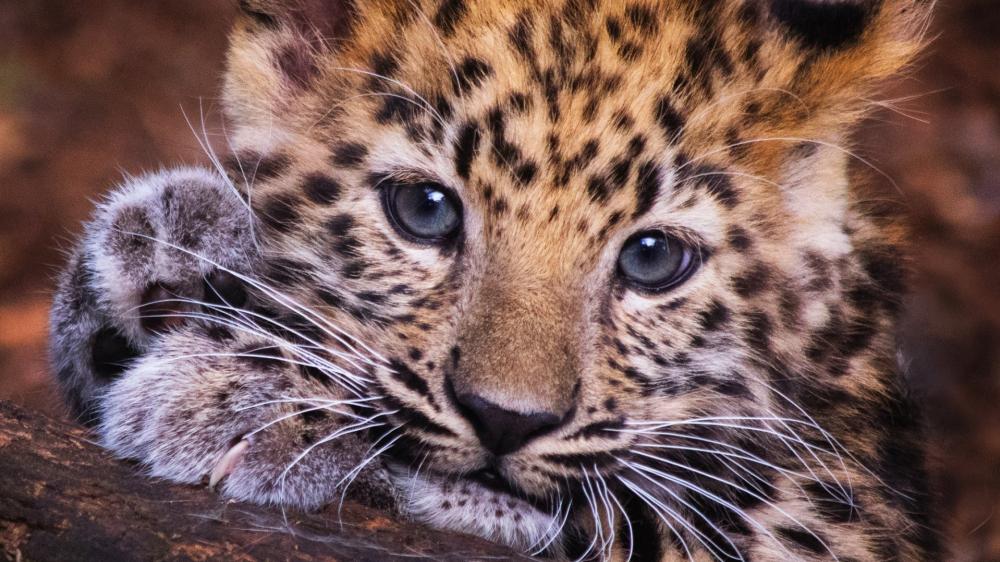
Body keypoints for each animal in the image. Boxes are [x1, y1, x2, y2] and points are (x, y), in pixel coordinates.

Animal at [49, 0, 941, 559]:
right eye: (425, 211)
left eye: (653, 259)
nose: (506, 421)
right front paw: (169, 252)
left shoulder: (835, 521)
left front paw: (254, 399)